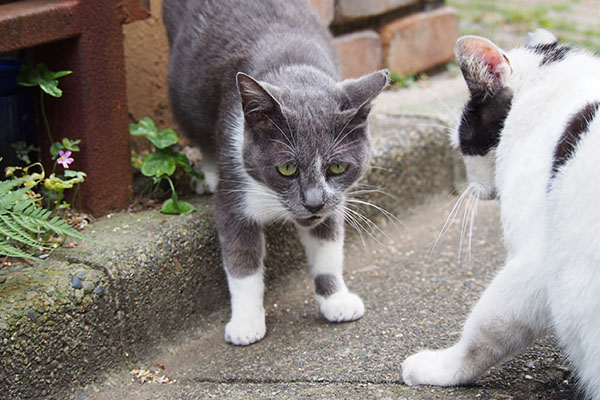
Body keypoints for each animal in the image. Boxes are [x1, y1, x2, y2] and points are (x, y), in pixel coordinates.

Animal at [164, 0, 390, 344]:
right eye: (287, 168)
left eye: (337, 167)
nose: (313, 202)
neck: (293, 70)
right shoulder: (234, 194)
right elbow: (241, 261)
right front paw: (245, 322)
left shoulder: (335, 201)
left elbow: (328, 245)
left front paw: (336, 299)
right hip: (187, 92)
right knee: (199, 130)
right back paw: (208, 175)